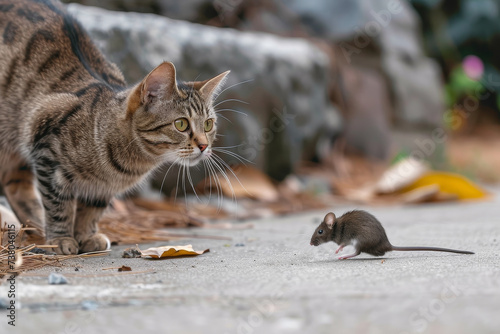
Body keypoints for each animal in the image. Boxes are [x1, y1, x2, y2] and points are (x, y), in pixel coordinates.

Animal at [0, 0, 229, 254]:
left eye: (208, 124)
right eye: (181, 124)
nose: (204, 146)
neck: (124, 167)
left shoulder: (101, 189)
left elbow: (91, 210)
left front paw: (86, 236)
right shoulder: (47, 153)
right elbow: (58, 204)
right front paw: (61, 238)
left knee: (15, 185)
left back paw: (38, 227)